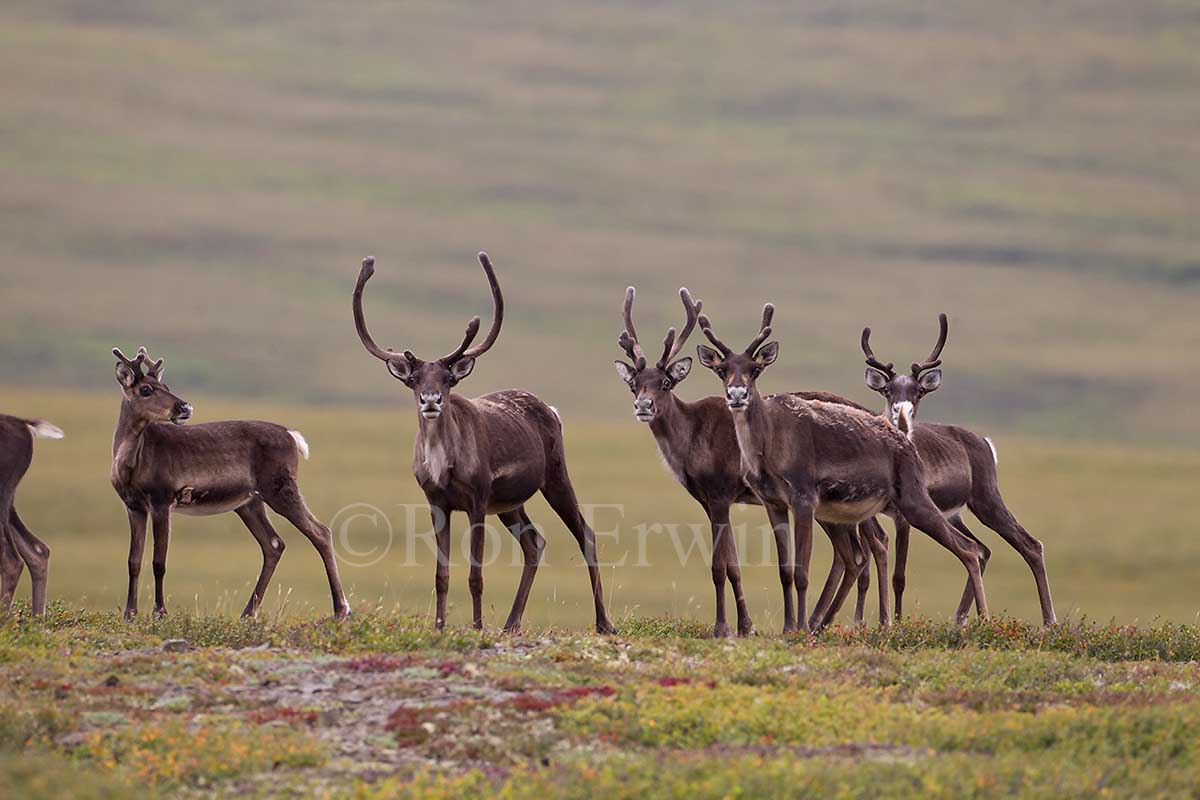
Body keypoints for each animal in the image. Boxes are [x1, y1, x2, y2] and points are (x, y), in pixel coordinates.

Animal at [109, 347, 348, 623]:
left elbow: (159, 562)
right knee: (274, 544)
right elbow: (133, 561)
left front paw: (160, 612)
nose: (185, 406)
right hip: (249, 501)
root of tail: (293, 436)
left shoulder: (162, 499)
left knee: (320, 532)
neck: (130, 463)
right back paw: (248, 613)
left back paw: (341, 609)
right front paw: (130, 614)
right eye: (146, 389)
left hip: (280, 488)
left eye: (166, 385)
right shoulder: (134, 506)